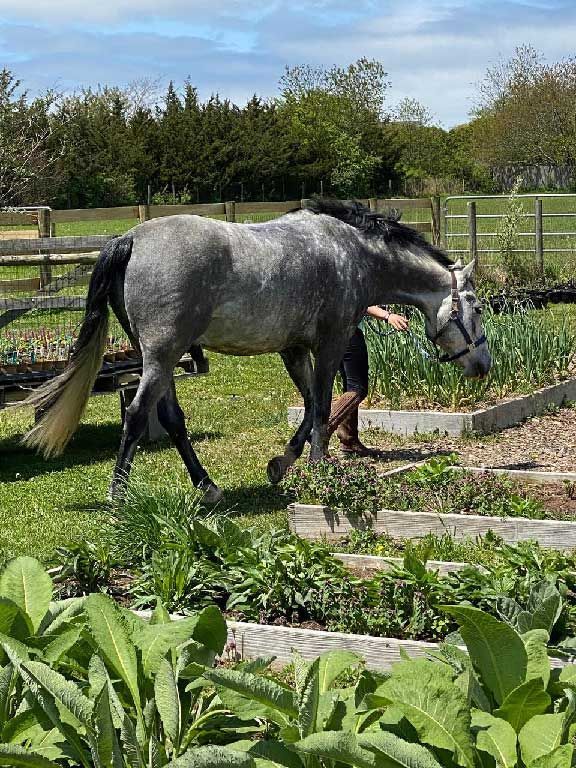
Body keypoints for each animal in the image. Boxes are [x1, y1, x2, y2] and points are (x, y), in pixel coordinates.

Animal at [22, 199, 491, 503]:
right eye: (478, 307)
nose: (483, 365)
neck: (352, 252)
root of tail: (131, 239)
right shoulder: (331, 343)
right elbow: (322, 406)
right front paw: (319, 470)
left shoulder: (294, 350)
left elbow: (309, 406)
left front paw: (282, 463)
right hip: (161, 356)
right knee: (137, 416)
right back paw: (118, 499)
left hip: (160, 358)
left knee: (171, 419)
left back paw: (208, 487)